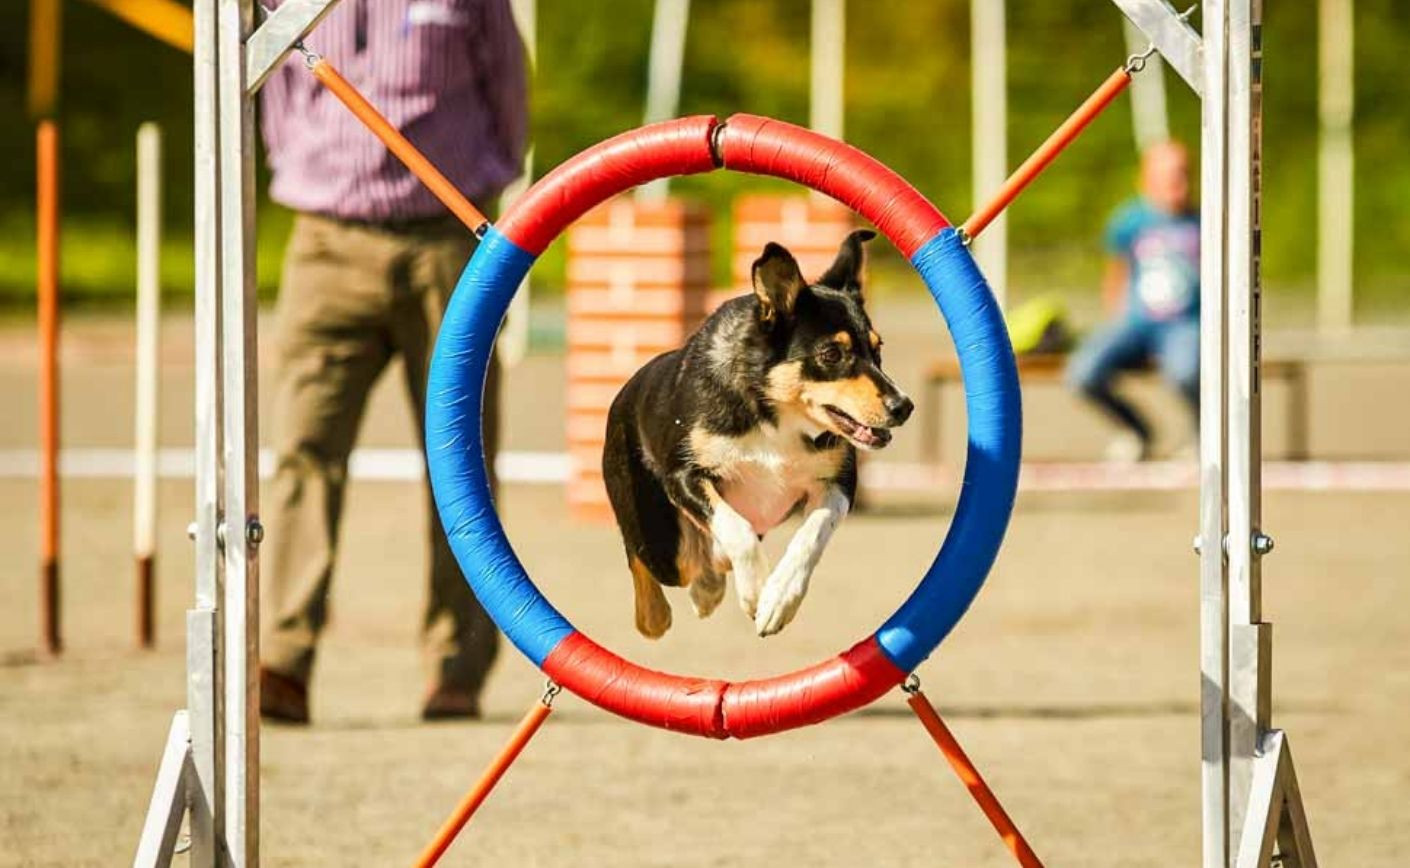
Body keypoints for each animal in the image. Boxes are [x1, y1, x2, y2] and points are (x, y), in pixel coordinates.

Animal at [603, 228, 913, 636]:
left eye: (878, 350)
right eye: (831, 354)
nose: (903, 406)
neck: (775, 414)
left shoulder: (838, 482)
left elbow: (812, 534)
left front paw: (778, 599)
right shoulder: (683, 475)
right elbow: (737, 529)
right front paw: (754, 592)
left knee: (709, 560)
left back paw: (707, 589)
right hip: (658, 538)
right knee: (644, 558)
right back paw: (654, 614)